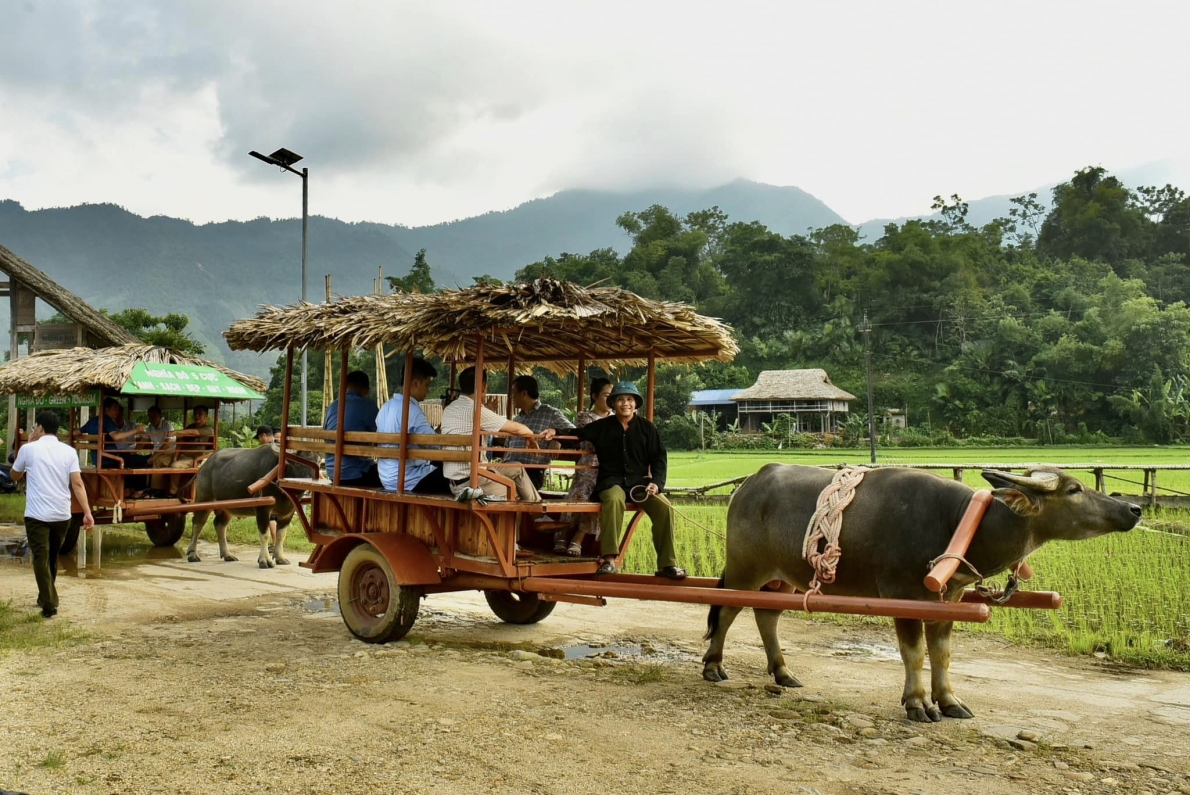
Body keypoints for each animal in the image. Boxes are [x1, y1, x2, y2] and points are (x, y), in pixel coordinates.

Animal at [699, 466, 1137, 718]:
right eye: (1074, 489)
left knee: (766, 614)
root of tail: (748, 486)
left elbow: (942, 653)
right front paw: (918, 703)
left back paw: (783, 672)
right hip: (744, 568)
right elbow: (915, 653)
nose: (1133, 509)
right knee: (725, 610)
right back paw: (713, 666)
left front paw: (950, 701)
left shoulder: (950, 600)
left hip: (784, 575)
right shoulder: (903, 596)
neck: (959, 524)